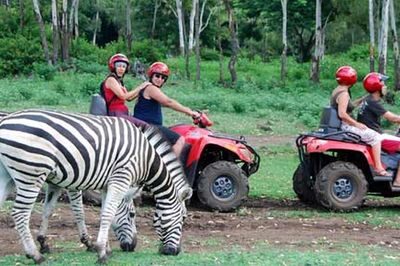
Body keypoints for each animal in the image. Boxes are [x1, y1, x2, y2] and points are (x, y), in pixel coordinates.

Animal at [0, 109, 192, 264]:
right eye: (183, 218)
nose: (175, 252)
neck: (145, 157)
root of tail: (5, 121)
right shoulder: (120, 178)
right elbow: (104, 214)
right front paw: (101, 252)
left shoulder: (106, 184)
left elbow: (103, 214)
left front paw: (105, 248)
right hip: (32, 174)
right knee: (20, 213)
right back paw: (35, 255)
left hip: (7, 175)